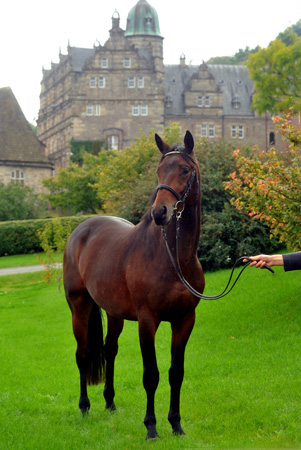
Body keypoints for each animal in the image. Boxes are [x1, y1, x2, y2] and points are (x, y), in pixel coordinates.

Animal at [63, 130, 204, 440]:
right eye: (159, 170)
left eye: (184, 169)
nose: (160, 212)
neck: (172, 257)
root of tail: (81, 229)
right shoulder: (147, 320)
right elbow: (151, 375)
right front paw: (151, 427)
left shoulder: (185, 320)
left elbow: (176, 373)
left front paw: (176, 424)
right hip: (79, 308)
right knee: (82, 355)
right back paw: (84, 406)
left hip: (114, 313)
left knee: (109, 350)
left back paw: (110, 402)